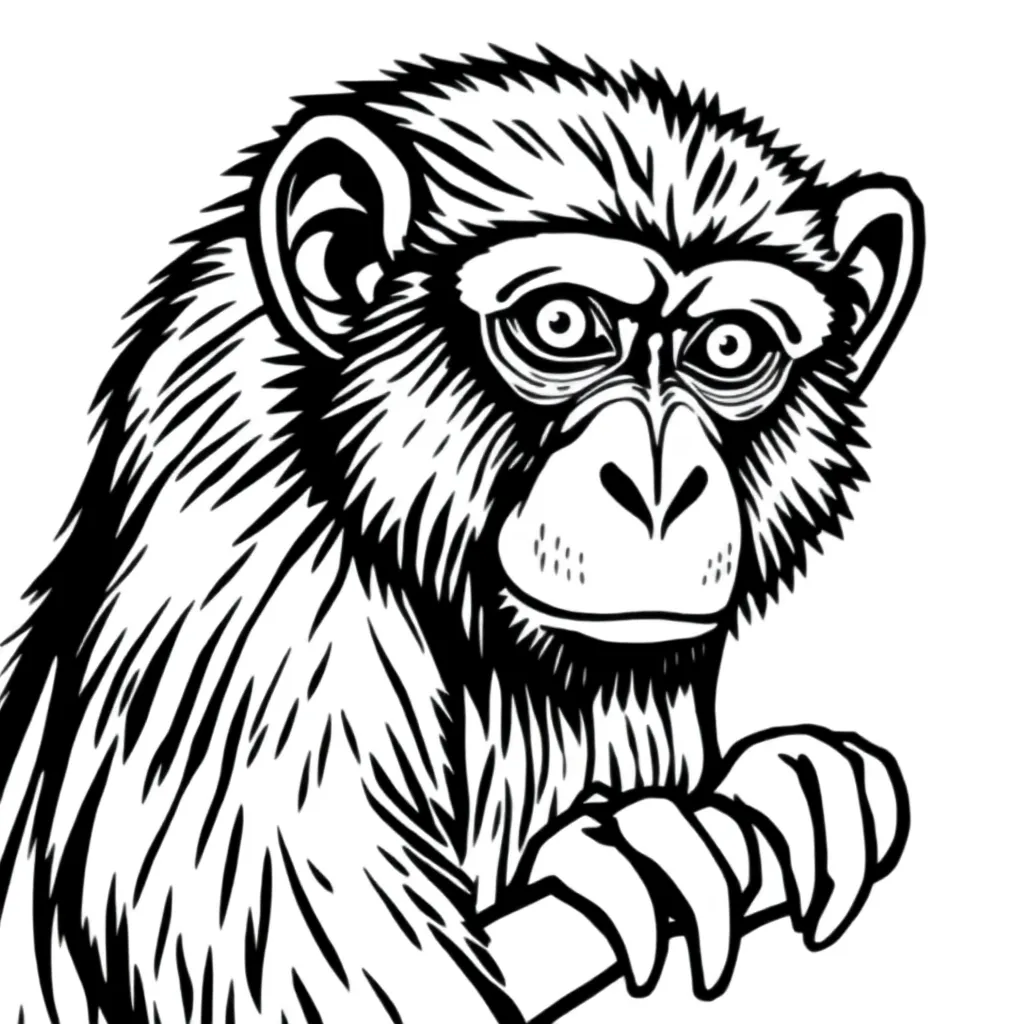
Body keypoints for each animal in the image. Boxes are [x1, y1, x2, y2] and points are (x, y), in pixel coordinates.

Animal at [0, 49, 923, 1024]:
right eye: (562, 323)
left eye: (731, 347)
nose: (659, 485)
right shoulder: (259, 648)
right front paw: (623, 845)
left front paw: (790, 779)